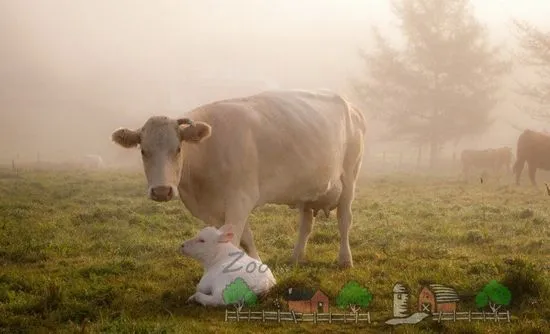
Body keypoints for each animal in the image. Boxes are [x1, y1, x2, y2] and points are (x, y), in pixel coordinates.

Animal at [111, 89, 368, 268]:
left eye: (178, 149)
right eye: (143, 151)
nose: (162, 191)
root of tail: (352, 107)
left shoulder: (240, 199)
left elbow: (233, 240)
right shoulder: (214, 211)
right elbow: (245, 238)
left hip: (350, 177)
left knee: (344, 220)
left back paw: (345, 259)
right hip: (307, 189)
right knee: (306, 224)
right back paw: (296, 257)